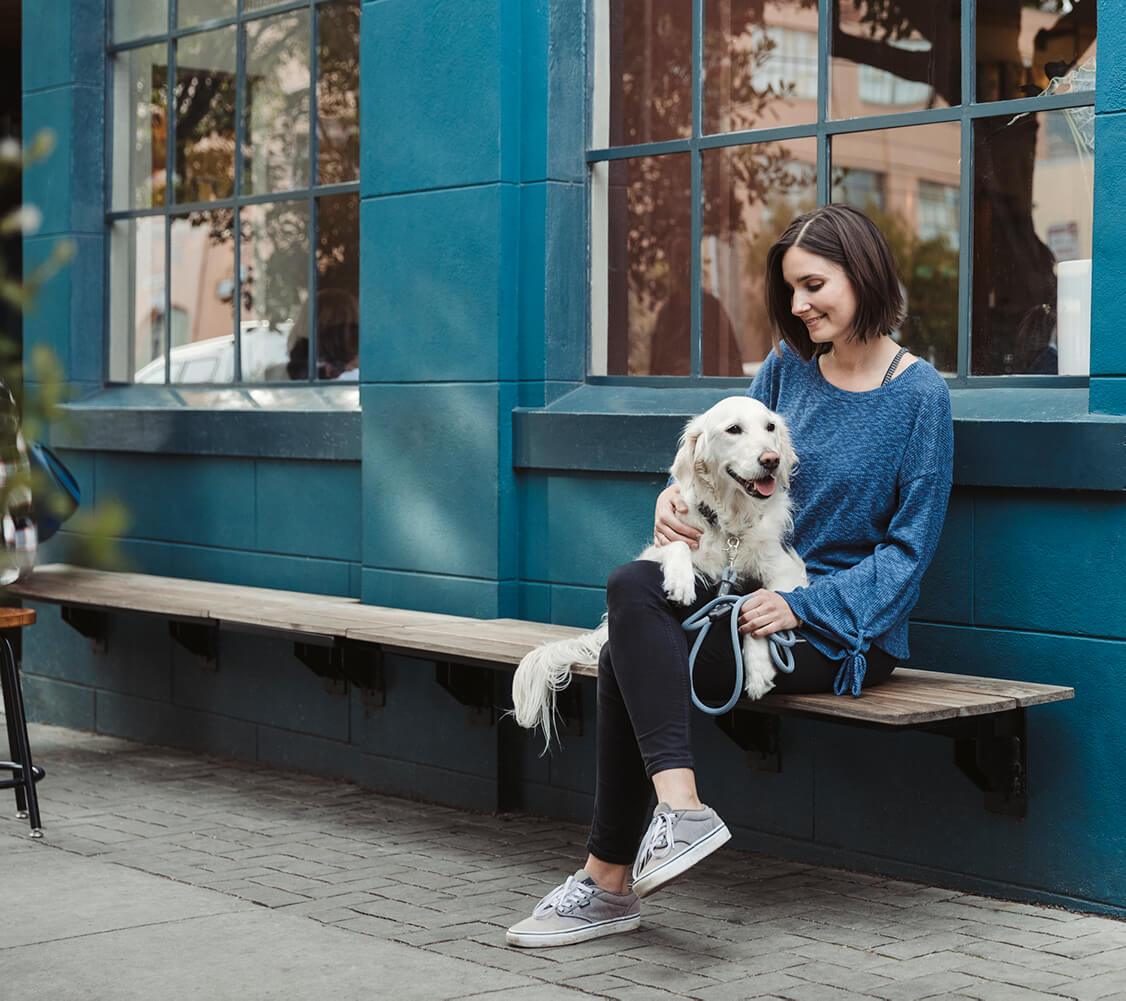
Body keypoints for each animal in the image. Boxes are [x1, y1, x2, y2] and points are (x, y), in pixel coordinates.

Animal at [511, 394, 810, 747]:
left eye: (770, 427)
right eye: (734, 429)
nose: (771, 460)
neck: (731, 526)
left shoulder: (787, 571)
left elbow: (759, 607)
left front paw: (760, 669)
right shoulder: (668, 537)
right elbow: (675, 543)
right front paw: (681, 580)